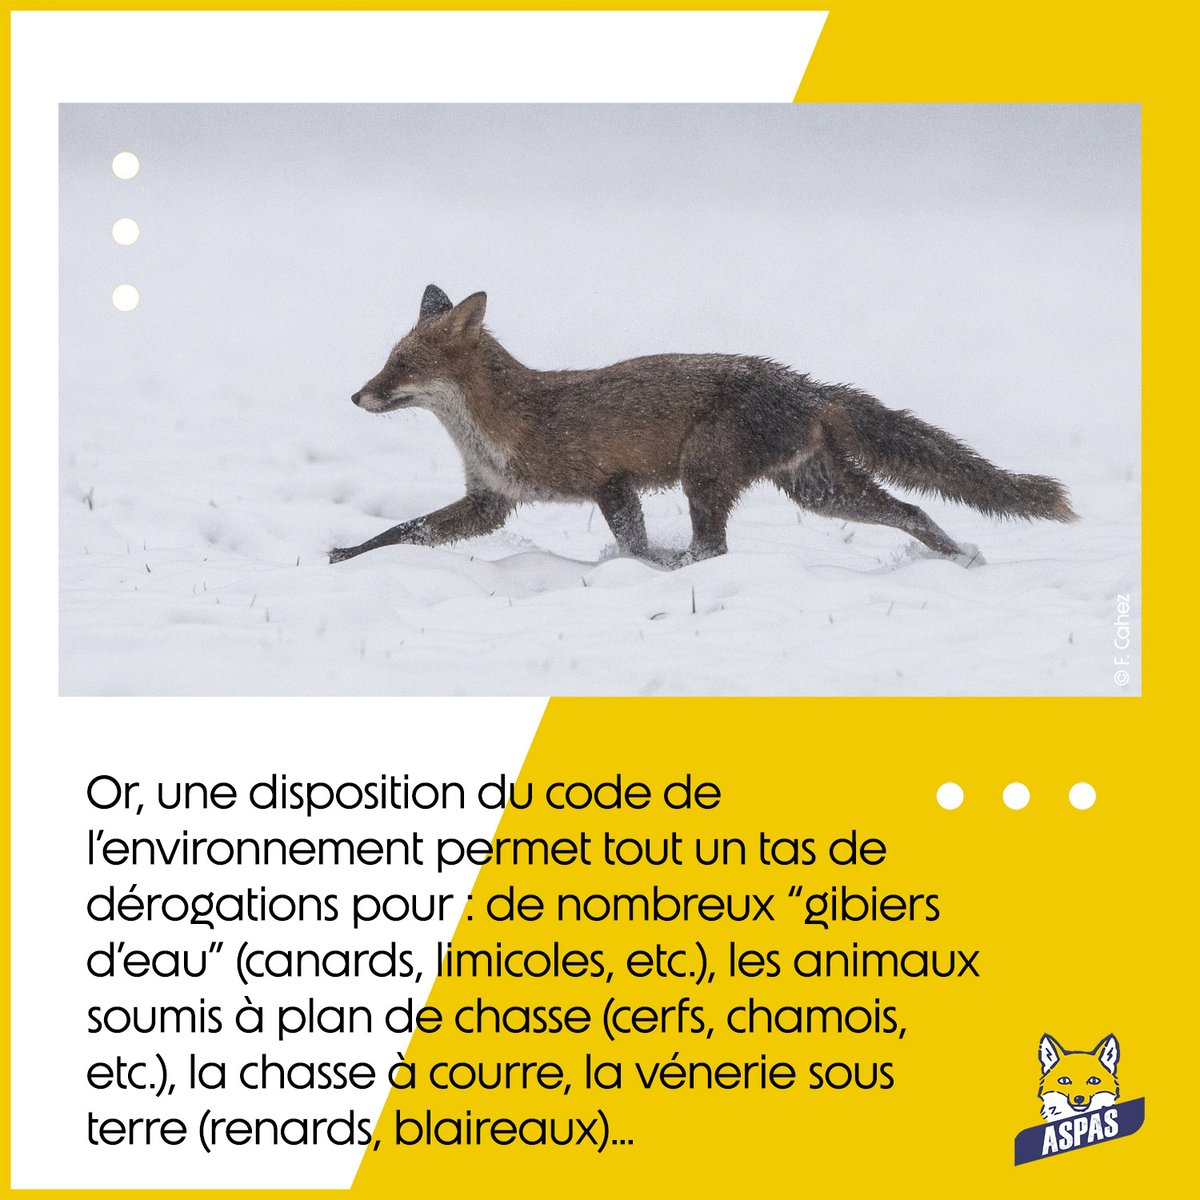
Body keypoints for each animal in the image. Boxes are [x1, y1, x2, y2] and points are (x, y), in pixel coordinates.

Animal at [329, 284, 1076, 566]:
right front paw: (345, 556)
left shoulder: (611, 483)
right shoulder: (490, 502)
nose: (357, 395)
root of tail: (805, 385)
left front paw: (641, 568)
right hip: (819, 491)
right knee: (914, 509)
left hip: (704, 473)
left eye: (400, 364)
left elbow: (635, 545)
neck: (500, 424)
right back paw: (957, 557)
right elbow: (403, 532)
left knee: (711, 549)